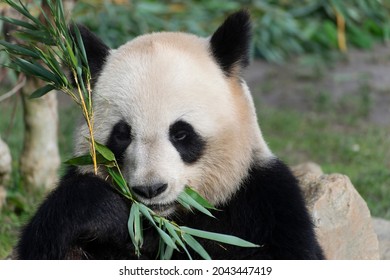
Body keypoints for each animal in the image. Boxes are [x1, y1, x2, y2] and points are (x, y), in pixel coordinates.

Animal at [16, 10, 324, 260]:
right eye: (122, 134)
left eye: (181, 134)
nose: (151, 189)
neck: (168, 220)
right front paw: (99, 212)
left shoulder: (262, 201)